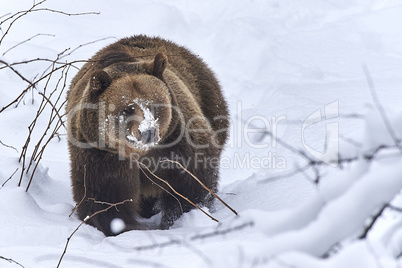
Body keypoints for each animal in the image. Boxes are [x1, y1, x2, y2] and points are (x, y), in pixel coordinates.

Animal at [66, 34, 229, 236]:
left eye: (154, 104)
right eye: (128, 109)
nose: (148, 131)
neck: (140, 153)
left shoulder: (177, 140)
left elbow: (191, 181)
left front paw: (176, 219)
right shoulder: (100, 154)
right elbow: (106, 197)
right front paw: (124, 227)